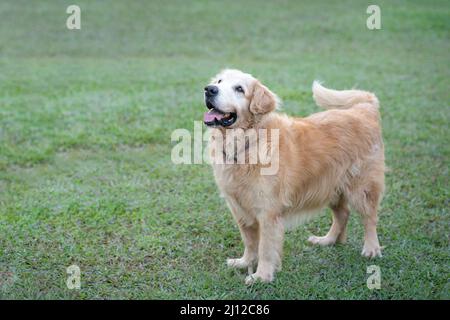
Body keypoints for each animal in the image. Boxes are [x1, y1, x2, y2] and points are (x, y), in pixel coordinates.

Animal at [204, 69, 384, 284]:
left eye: (239, 89)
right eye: (219, 82)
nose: (209, 89)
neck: (247, 143)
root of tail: (364, 109)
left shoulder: (268, 212)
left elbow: (265, 248)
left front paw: (261, 276)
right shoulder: (239, 208)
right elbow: (249, 242)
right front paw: (244, 262)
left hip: (362, 188)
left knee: (370, 218)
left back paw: (371, 248)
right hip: (331, 186)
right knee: (343, 214)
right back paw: (328, 240)